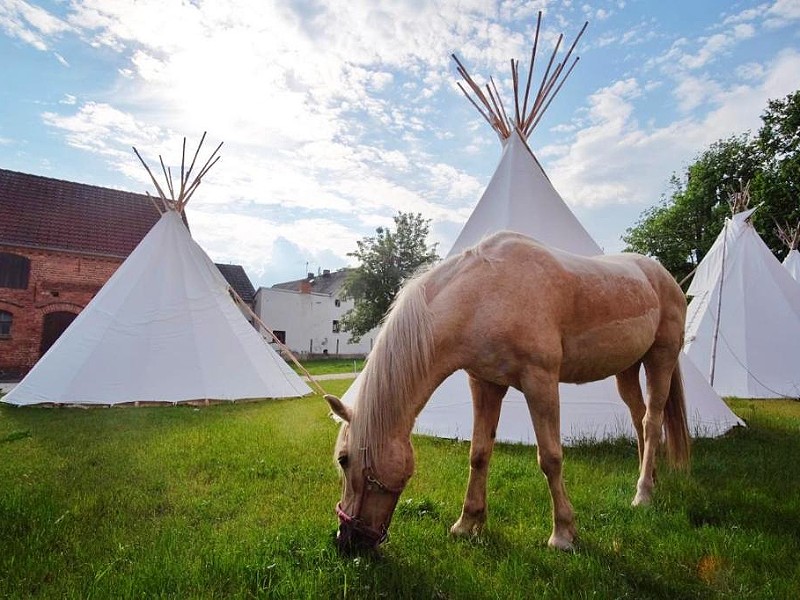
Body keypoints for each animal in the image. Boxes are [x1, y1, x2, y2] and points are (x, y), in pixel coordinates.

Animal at [324, 230, 688, 552]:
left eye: (344, 459)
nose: (346, 541)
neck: (483, 295)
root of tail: (666, 279)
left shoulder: (540, 382)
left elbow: (550, 458)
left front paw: (563, 534)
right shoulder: (486, 384)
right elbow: (479, 453)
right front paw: (467, 524)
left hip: (661, 357)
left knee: (652, 422)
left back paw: (643, 495)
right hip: (627, 368)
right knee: (639, 418)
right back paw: (650, 478)